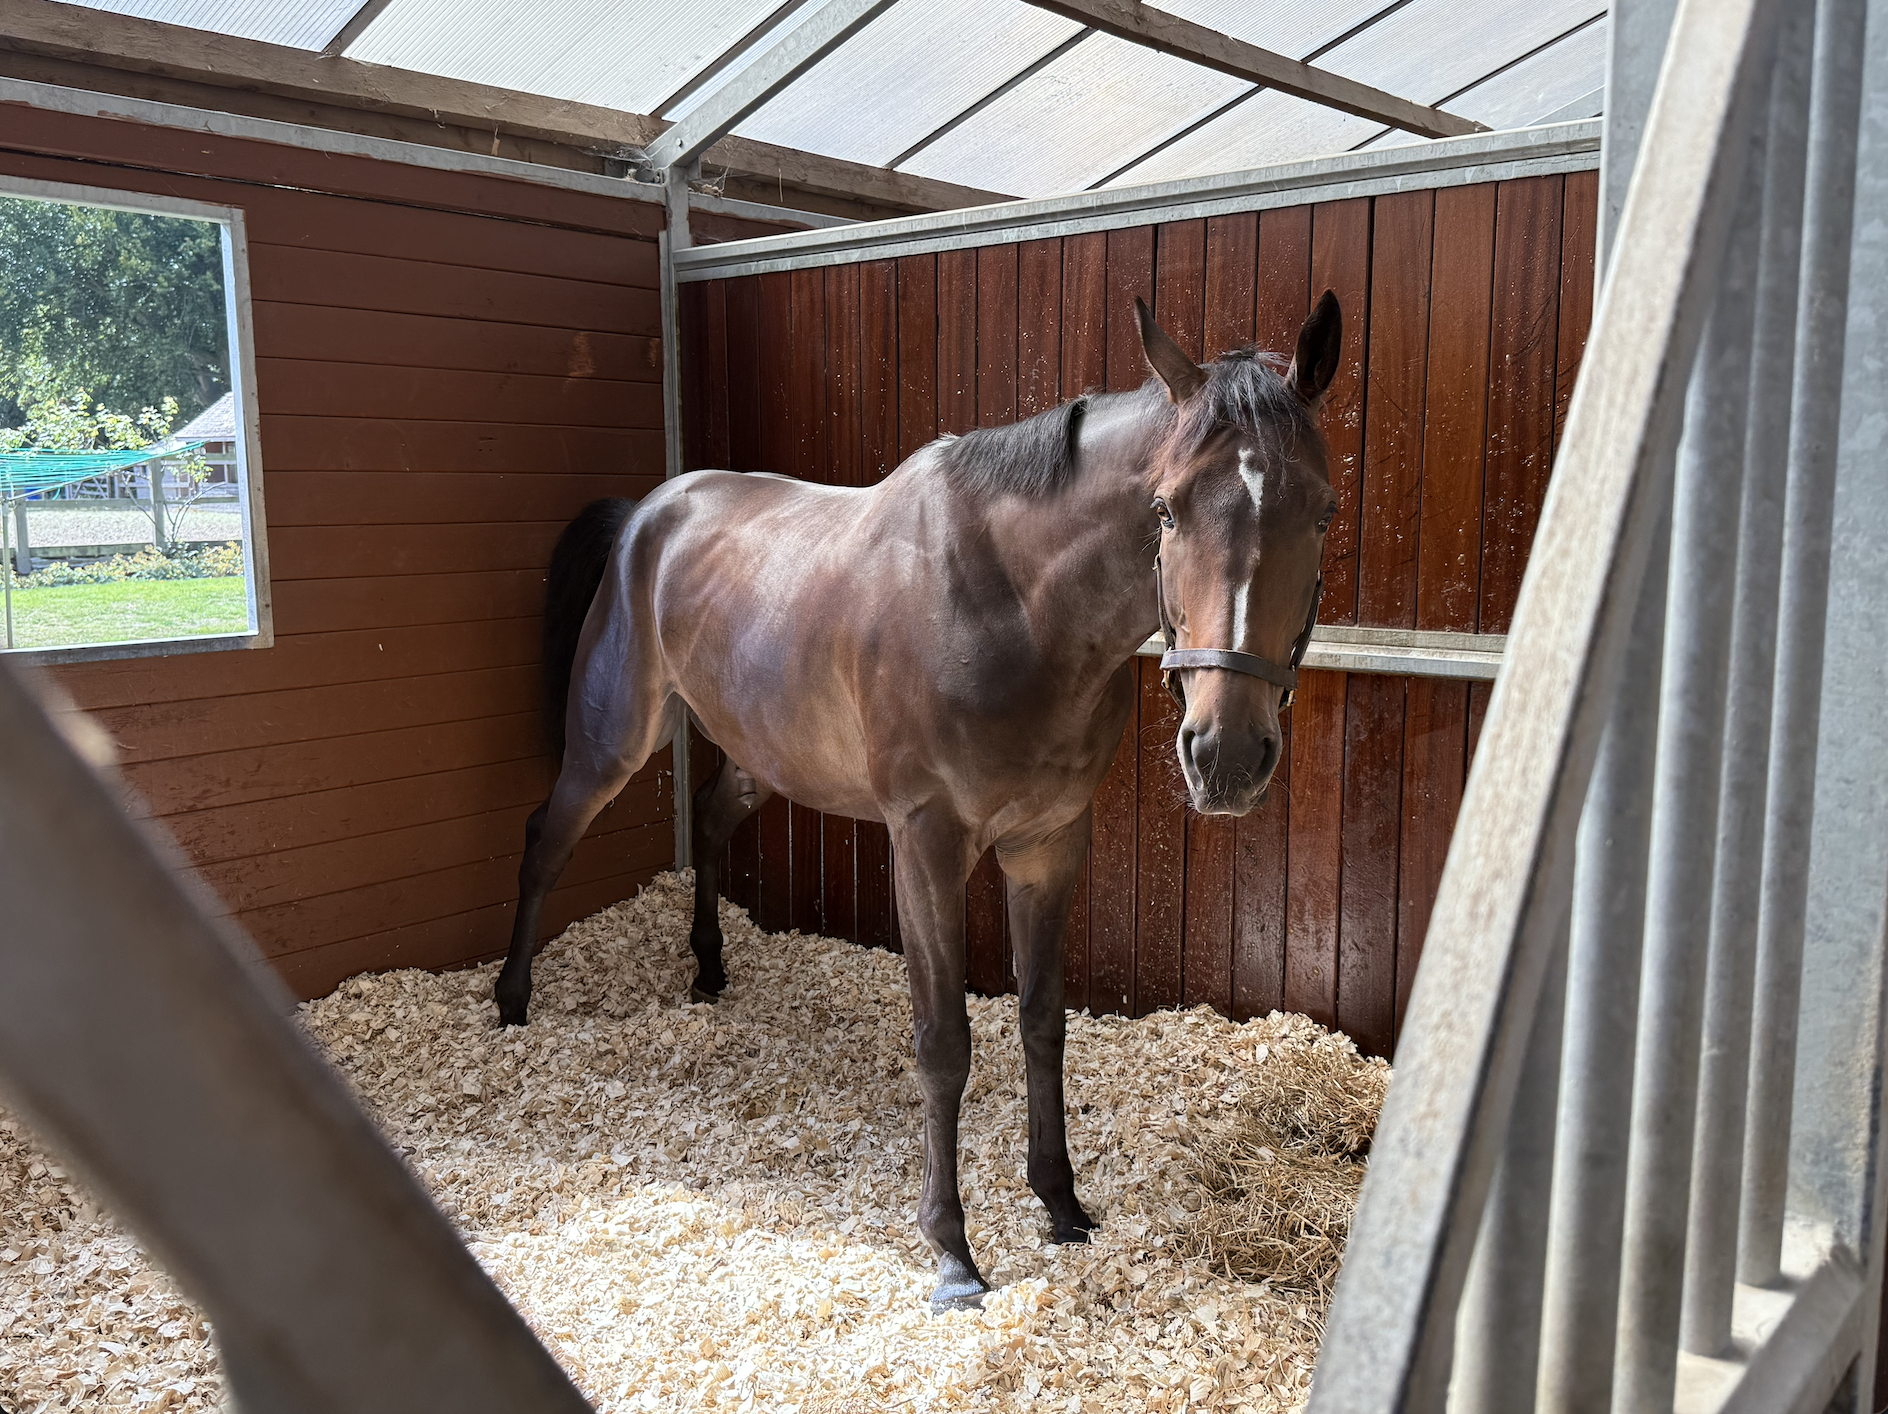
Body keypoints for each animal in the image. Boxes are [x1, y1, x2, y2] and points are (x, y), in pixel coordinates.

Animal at [496, 293, 1342, 1310]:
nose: (1226, 756)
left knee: (707, 818)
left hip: (757, 749)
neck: (1013, 605)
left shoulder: (1050, 842)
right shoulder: (926, 845)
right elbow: (944, 1042)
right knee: (547, 837)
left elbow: (1042, 1020)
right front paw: (952, 1253)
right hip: (614, 738)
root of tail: (645, 514)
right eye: (1165, 509)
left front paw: (1060, 1203)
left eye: (1324, 511)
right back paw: (510, 1003)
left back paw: (706, 969)